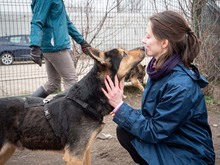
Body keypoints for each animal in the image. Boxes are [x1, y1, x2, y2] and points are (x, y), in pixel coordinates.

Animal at [0, 46, 145, 165]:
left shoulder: (85, 151)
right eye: (124, 54)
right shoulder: (75, 156)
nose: (144, 47)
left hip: (7, 151)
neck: (84, 102)